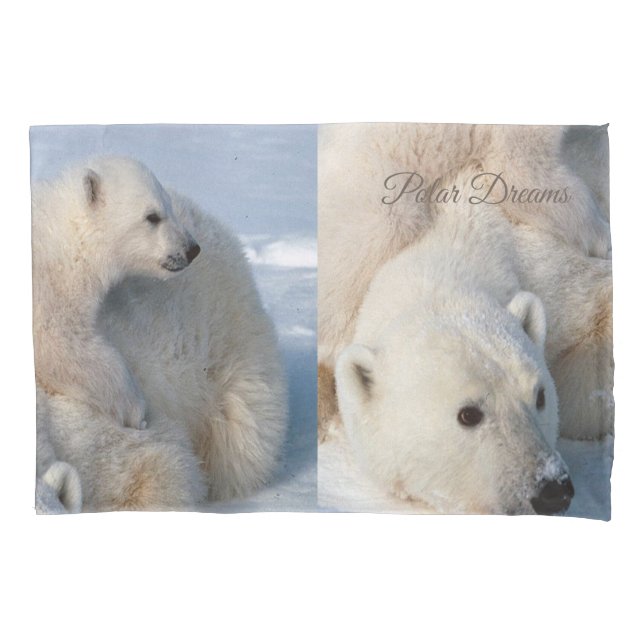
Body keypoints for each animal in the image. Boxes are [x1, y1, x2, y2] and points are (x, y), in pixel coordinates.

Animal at [33, 158, 287, 511]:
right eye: (152, 217)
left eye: (164, 209)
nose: (192, 249)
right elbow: (62, 343)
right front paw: (135, 408)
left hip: (228, 346)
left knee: (241, 433)